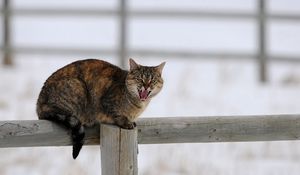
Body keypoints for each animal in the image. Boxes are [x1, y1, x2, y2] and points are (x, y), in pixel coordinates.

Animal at [37, 58, 166, 159]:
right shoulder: (106, 102)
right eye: (140, 78)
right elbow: (117, 114)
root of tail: (39, 104)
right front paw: (126, 122)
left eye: (152, 80)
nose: (146, 85)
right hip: (78, 86)